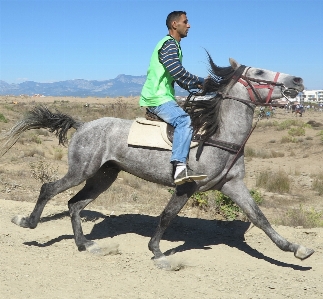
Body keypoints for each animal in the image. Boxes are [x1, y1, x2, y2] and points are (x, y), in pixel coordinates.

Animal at [0, 56, 314, 270]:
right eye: (259, 72)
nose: (298, 80)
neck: (217, 135)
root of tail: (84, 124)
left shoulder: (233, 186)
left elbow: (260, 217)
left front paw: (296, 249)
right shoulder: (186, 187)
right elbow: (166, 216)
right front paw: (159, 254)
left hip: (104, 176)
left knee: (74, 204)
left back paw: (85, 244)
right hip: (81, 170)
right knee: (49, 189)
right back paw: (27, 222)